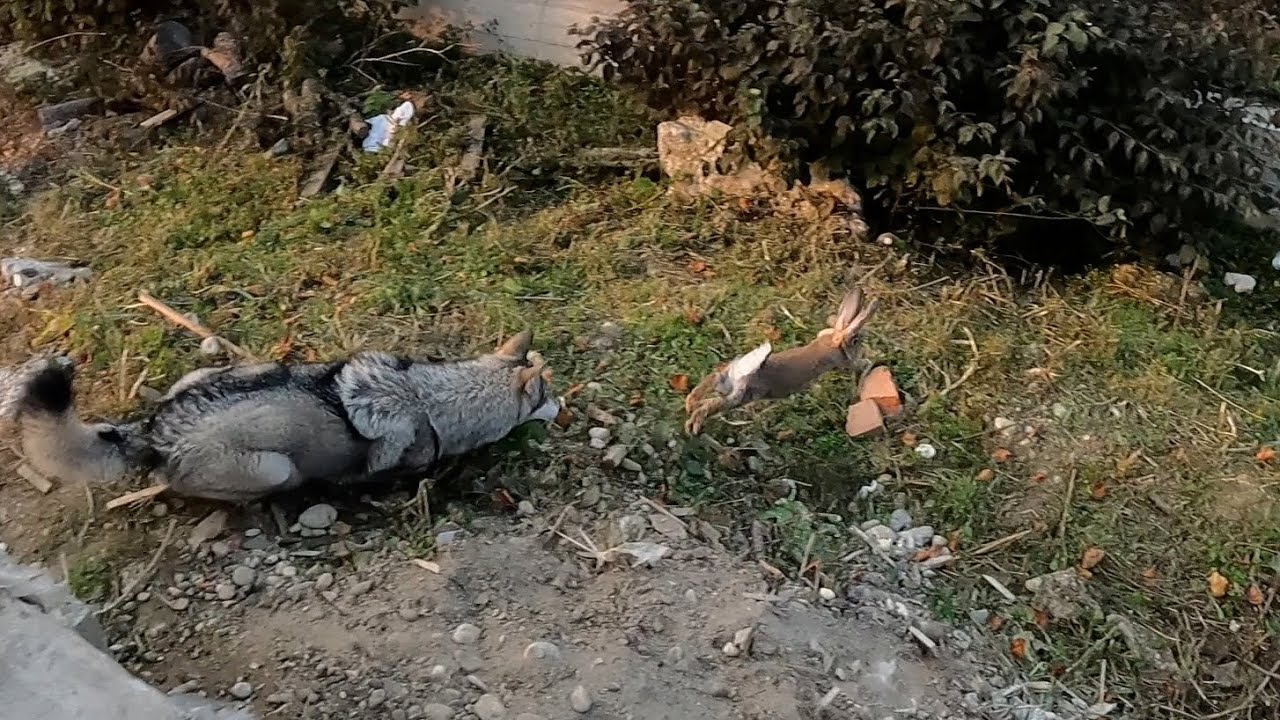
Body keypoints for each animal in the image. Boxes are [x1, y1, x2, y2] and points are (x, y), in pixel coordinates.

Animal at [0, 331, 560, 503]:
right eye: (549, 393)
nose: (565, 410)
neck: (427, 398)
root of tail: (156, 431)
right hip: (275, 468)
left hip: (222, 371)